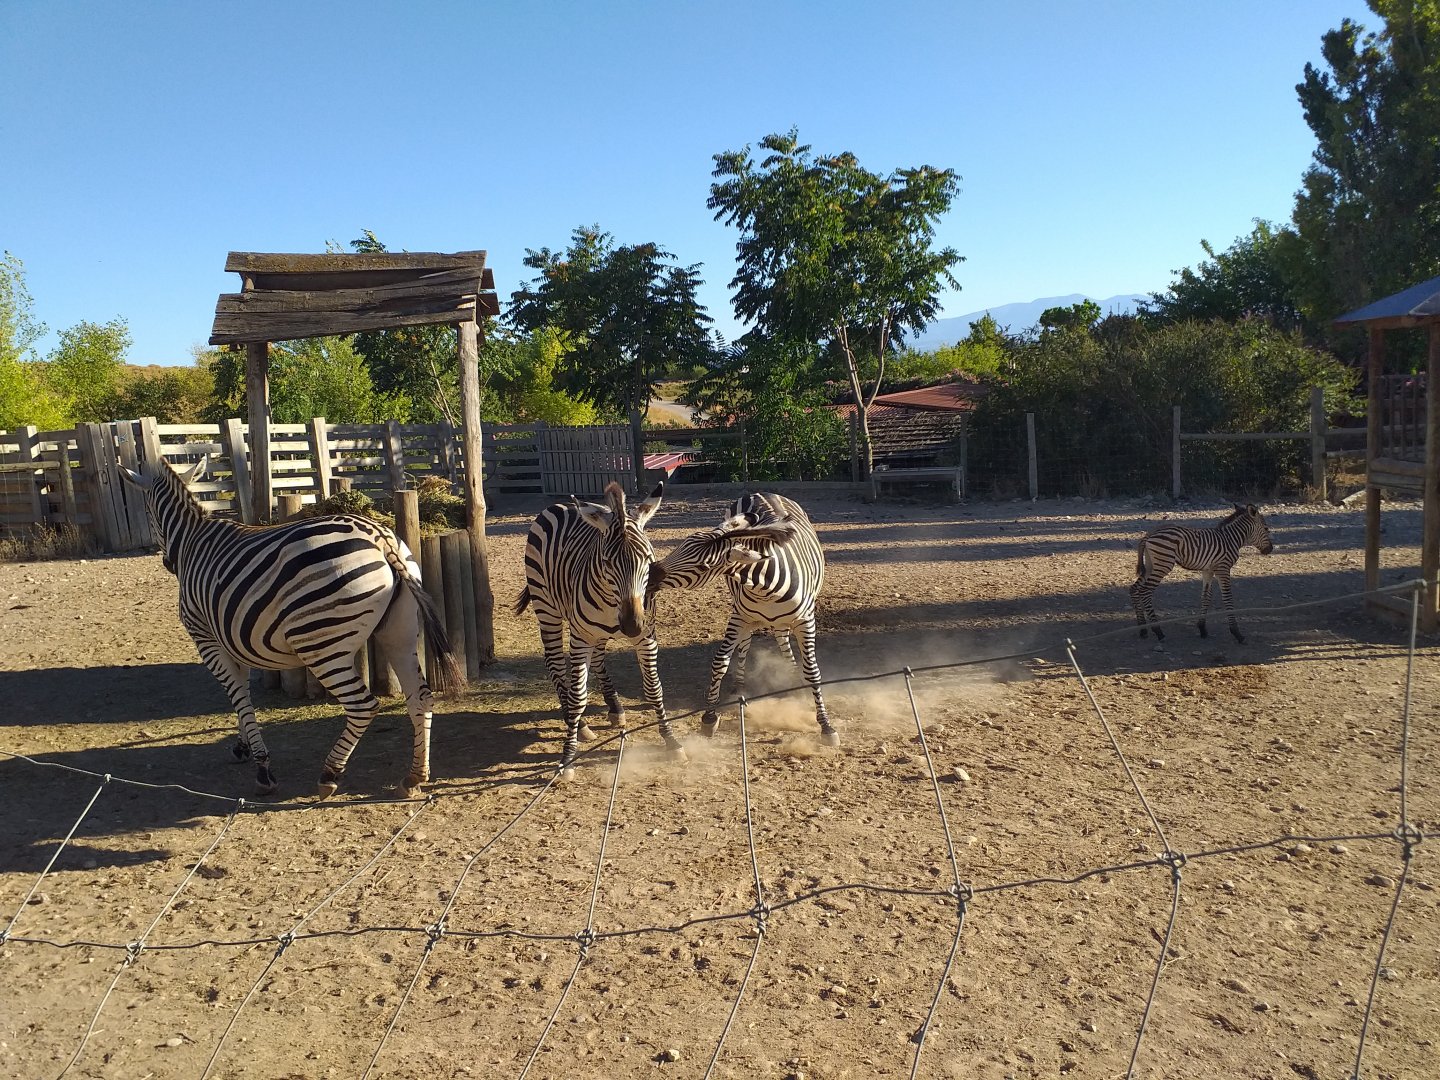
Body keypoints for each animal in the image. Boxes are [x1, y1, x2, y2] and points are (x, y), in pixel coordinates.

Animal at [120, 457, 461, 797]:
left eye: (148, 514)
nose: (167, 564)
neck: (192, 540)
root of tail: (380, 538)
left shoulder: (206, 639)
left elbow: (237, 695)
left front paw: (262, 767)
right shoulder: (232, 639)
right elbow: (242, 693)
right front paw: (242, 746)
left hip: (321, 643)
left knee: (362, 706)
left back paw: (329, 774)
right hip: (400, 633)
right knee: (420, 697)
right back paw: (415, 776)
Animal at [514, 481, 680, 773]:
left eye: (648, 560)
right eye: (606, 563)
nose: (631, 625)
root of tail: (561, 504)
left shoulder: (647, 636)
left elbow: (653, 687)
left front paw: (670, 738)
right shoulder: (580, 637)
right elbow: (578, 695)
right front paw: (568, 756)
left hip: (596, 631)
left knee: (600, 658)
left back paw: (615, 708)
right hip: (547, 607)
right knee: (555, 663)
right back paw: (579, 724)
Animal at [652, 492, 838, 746]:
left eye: (703, 566)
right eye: (681, 546)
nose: (650, 574)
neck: (765, 587)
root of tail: (761, 492)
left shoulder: (806, 621)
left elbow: (812, 671)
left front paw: (826, 725)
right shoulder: (739, 616)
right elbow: (720, 661)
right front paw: (709, 717)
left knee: (781, 638)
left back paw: (794, 680)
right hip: (743, 613)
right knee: (746, 643)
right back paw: (740, 689)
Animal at [1130, 503, 1274, 643]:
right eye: (1266, 528)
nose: (1270, 549)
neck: (1231, 539)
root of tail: (1150, 533)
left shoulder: (1208, 570)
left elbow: (1206, 596)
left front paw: (1202, 629)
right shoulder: (1223, 568)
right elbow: (1227, 597)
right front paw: (1237, 633)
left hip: (1151, 565)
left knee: (1135, 588)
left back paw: (1143, 629)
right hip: (1163, 564)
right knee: (1145, 591)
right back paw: (1158, 631)